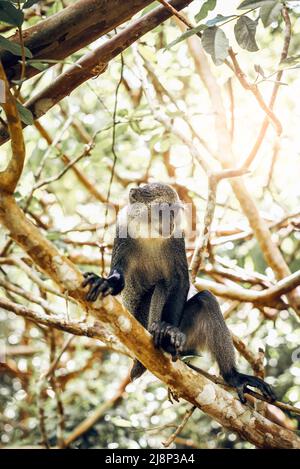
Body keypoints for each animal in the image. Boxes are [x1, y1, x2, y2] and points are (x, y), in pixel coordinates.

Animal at [82, 182, 276, 402]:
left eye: (173, 212)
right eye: (162, 211)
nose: (170, 224)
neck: (149, 232)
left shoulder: (176, 238)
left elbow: (180, 281)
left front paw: (169, 331)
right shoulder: (123, 230)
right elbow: (120, 276)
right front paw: (105, 283)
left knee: (205, 300)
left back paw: (232, 376)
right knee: (160, 287)